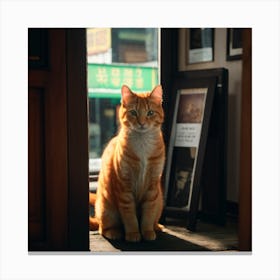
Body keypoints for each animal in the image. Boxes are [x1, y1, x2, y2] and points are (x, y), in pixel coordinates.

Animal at [90, 84, 164, 242]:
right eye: (133, 112)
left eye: (150, 113)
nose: (141, 123)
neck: (142, 145)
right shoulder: (124, 188)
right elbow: (130, 217)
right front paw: (133, 234)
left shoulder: (152, 187)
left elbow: (148, 215)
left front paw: (147, 231)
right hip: (107, 210)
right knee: (102, 229)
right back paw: (114, 232)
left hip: (159, 201)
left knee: (154, 218)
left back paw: (157, 227)